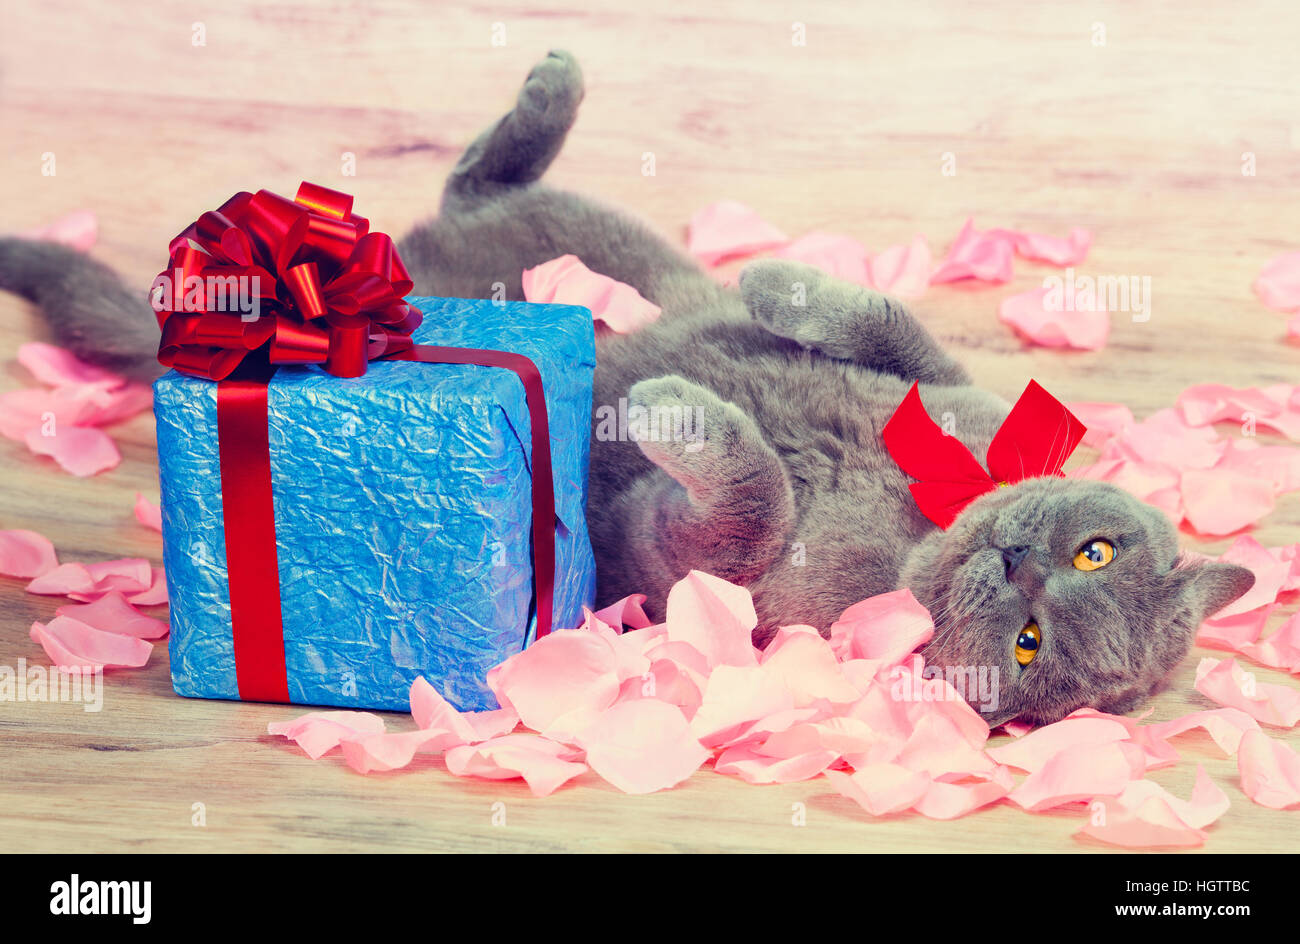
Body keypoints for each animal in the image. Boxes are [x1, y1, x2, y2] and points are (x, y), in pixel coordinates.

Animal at [2, 51, 1258, 728]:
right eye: (1095, 547)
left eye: (1032, 645)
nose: (1016, 560)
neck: (917, 520)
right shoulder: (957, 388)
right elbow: (880, 322)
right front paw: (784, 284)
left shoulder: (705, 581)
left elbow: (748, 497)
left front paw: (669, 410)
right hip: (591, 238)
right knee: (483, 186)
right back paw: (554, 88)